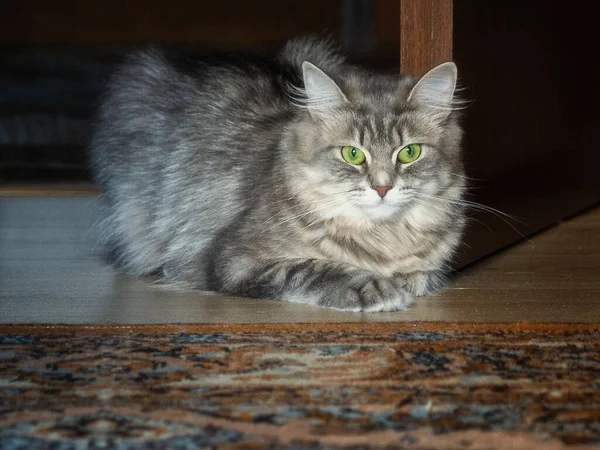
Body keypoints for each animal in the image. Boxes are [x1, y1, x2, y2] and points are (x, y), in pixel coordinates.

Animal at [89, 37, 466, 312]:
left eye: (409, 152)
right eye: (352, 154)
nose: (383, 187)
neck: (385, 239)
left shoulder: (434, 265)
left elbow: (423, 274)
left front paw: (402, 281)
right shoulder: (234, 258)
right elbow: (312, 268)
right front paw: (373, 286)